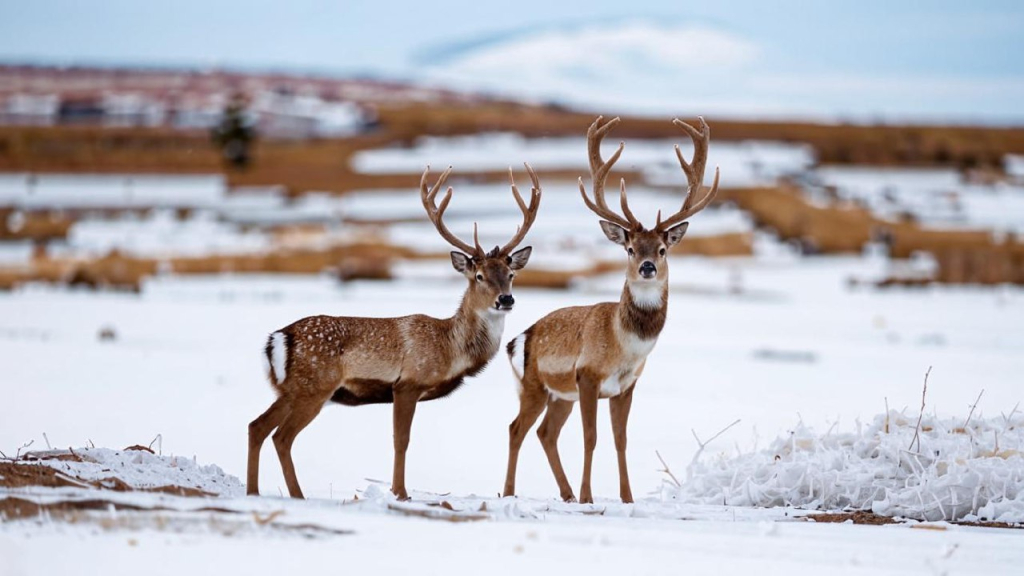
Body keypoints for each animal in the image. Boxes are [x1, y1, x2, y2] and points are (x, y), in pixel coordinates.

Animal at [248, 162, 544, 498]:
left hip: (291, 389)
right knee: (282, 436)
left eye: (511, 274)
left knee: (257, 427)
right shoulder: (407, 383)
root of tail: (277, 339)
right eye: (478, 276)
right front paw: (400, 492)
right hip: (315, 386)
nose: (505, 299)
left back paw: (255, 491)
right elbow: (401, 440)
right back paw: (296, 495)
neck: (450, 351)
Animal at [499, 116, 716, 502]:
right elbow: (591, 438)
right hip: (534, 385)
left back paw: (566, 493)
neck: (623, 348)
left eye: (662, 249)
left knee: (545, 433)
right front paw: (589, 496)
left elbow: (621, 439)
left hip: (559, 396)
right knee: (516, 428)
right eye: (630, 248)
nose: (647, 267)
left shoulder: (626, 386)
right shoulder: (587, 376)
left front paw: (626, 497)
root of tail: (516, 340)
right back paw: (511, 492)